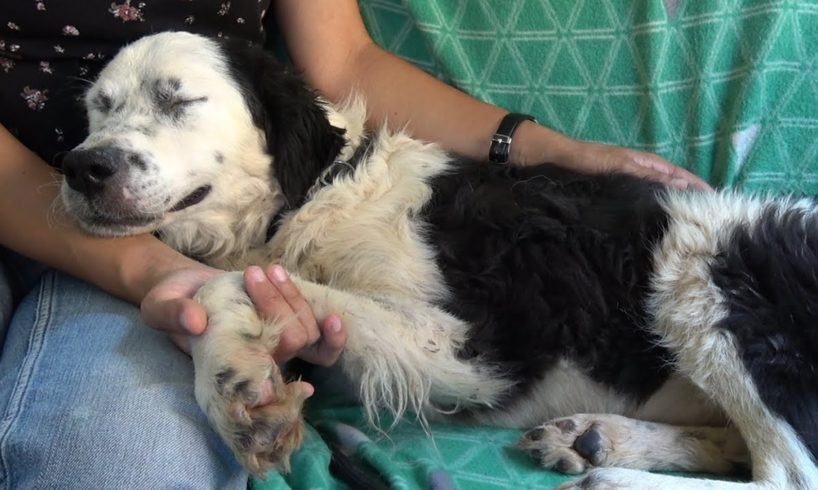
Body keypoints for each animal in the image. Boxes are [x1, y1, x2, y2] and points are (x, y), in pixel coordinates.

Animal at [59, 32, 816, 488]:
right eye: (98, 108)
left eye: (179, 99)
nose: (81, 167)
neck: (318, 192)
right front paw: (239, 378)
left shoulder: (466, 346)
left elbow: (226, 285)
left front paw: (231, 386)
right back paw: (596, 441)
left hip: (708, 268)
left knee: (785, 474)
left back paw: (607, 470)